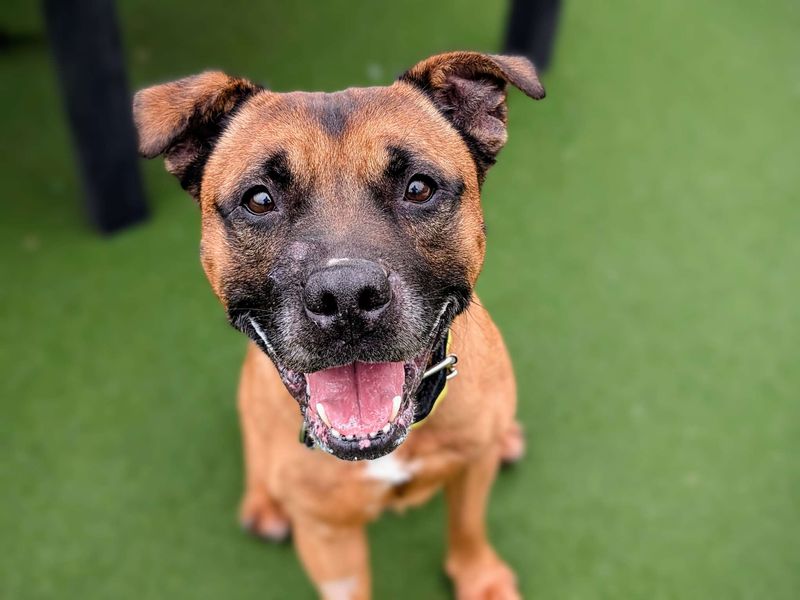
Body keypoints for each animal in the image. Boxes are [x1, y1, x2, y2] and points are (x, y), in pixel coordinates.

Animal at [133, 52, 544, 600]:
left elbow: (467, 525)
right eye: (259, 199)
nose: (347, 297)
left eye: (418, 187)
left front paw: (480, 579)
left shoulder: (472, 470)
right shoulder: (328, 537)